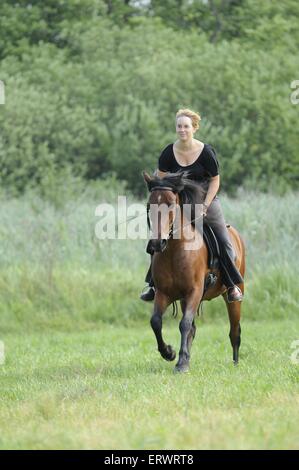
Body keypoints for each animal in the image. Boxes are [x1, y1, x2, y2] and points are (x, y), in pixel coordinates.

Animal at [144, 171, 246, 372]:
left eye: (170, 203)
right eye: (149, 204)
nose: (157, 243)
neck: (175, 249)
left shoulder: (195, 291)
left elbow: (184, 324)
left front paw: (181, 363)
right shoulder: (164, 293)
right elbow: (156, 322)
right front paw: (170, 353)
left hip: (234, 295)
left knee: (234, 330)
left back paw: (235, 363)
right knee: (193, 328)